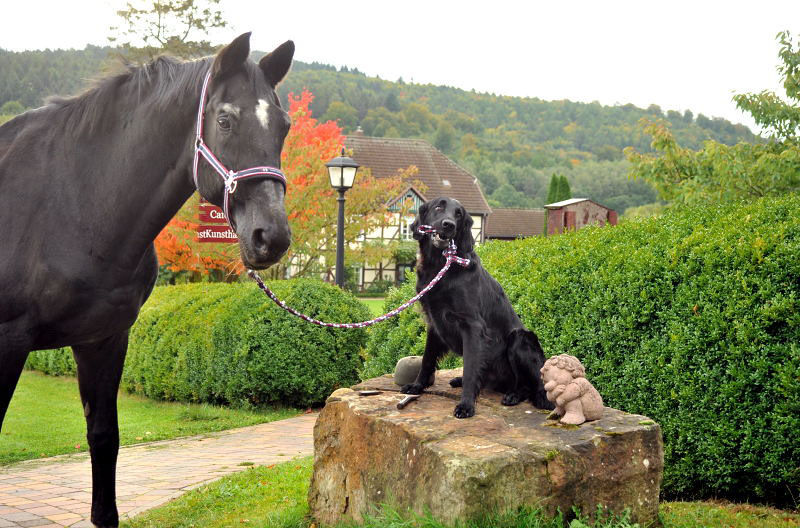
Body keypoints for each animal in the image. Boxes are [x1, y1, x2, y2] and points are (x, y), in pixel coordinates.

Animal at [0, 34, 294, 528]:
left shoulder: (103, 339)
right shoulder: (8, 340)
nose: (270, 237)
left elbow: (104, 438)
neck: (70, 202)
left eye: (285, 126)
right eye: (225, 120)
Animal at [404, 196, 552, 418]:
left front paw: (466, 404)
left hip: (520, 339)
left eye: (459, 214)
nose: (449, 225)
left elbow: (470, 367)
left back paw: (513, 395)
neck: (441, 266)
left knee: (528, 385)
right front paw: (417, 386)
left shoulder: (472, 326)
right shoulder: (434, 322)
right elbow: (427, 359)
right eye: (439, 207)